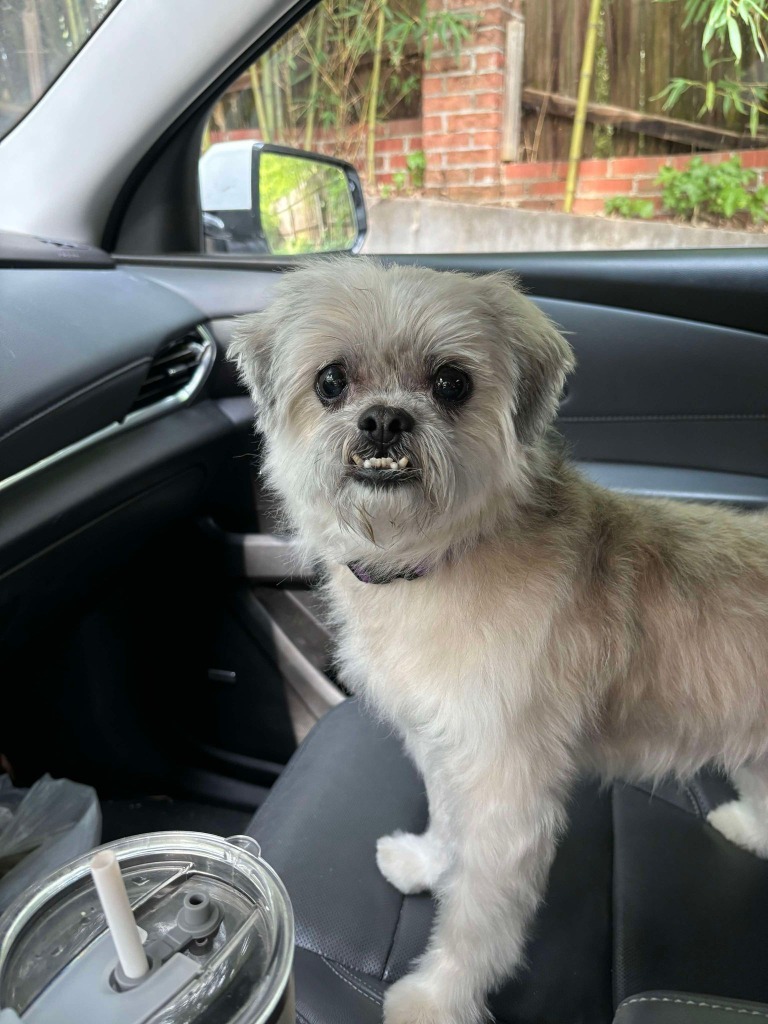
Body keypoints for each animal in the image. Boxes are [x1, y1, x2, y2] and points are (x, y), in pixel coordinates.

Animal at [231, 258, 768, 1024]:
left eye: (451, 383)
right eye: (331, 381)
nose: (384, 418)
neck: (441, 559)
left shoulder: (507, 789)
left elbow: (477, 917)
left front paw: (435, 998)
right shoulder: (444, 743)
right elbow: (446, 821)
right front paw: (428, 863)